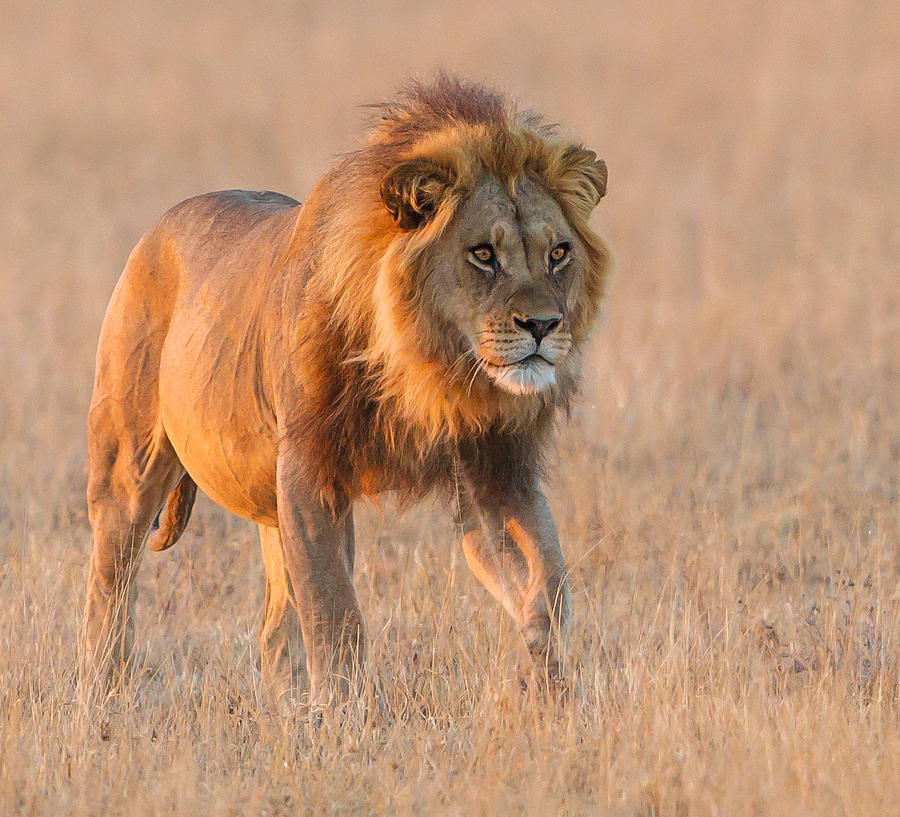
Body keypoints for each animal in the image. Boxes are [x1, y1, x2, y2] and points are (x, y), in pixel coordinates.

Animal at [82, 73, 612, 704]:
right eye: (483, 254)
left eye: (559, 253)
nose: (543, 326)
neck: (427, 369)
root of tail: (158, 227)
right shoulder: (310, 472)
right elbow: (335, 614)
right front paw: (345, 712)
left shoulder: (494, 471)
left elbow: (548, 586)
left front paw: (548, 685)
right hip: (129, 463)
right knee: (110, 588)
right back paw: (103, 694)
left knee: (274, 630)